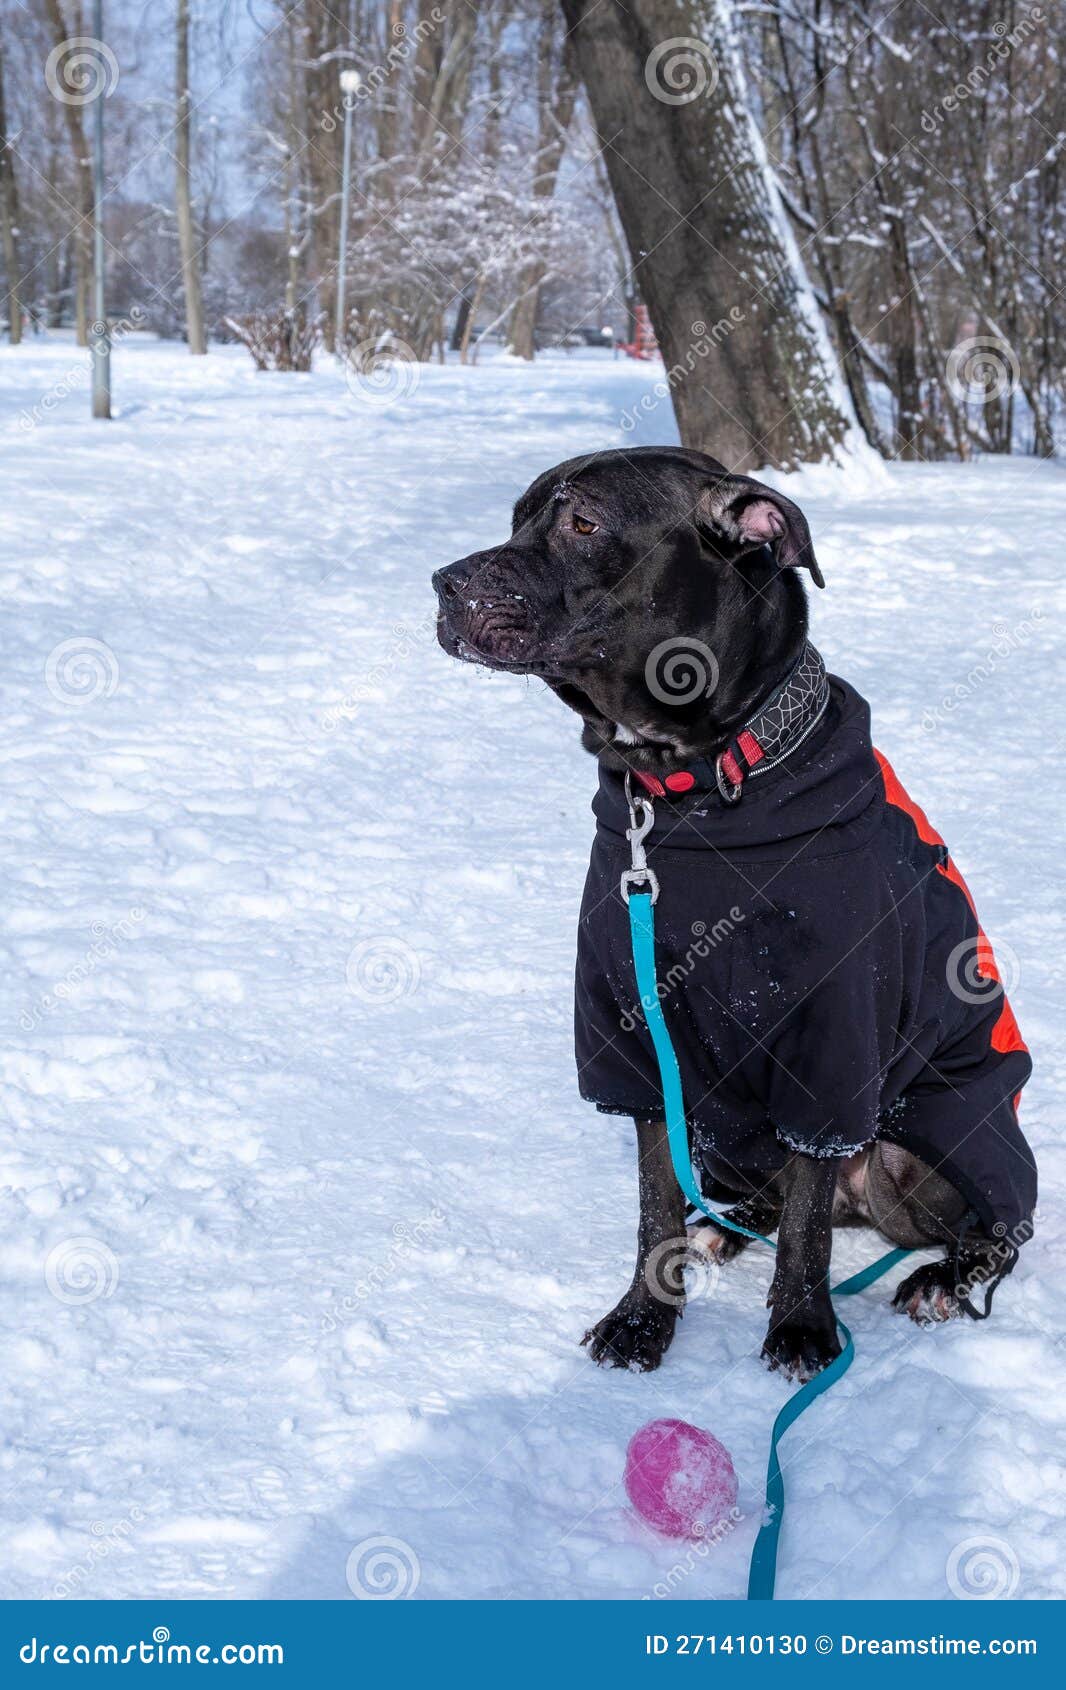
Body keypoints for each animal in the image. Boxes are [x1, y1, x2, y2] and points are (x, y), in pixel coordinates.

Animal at [432, 452, 1033, 1385]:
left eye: (582, 523)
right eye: (517, 517)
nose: (441, 585)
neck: (689, 793)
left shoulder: (832, 1042)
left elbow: (809, 1226)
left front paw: (802, 1328)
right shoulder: (635, 1034)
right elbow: (654, 1203)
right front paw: (644, 1319)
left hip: (944, 1132)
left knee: (995, 1230)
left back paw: (939, 1277)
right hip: (720, 1124)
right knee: (752, 1196)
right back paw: (720, 1229)